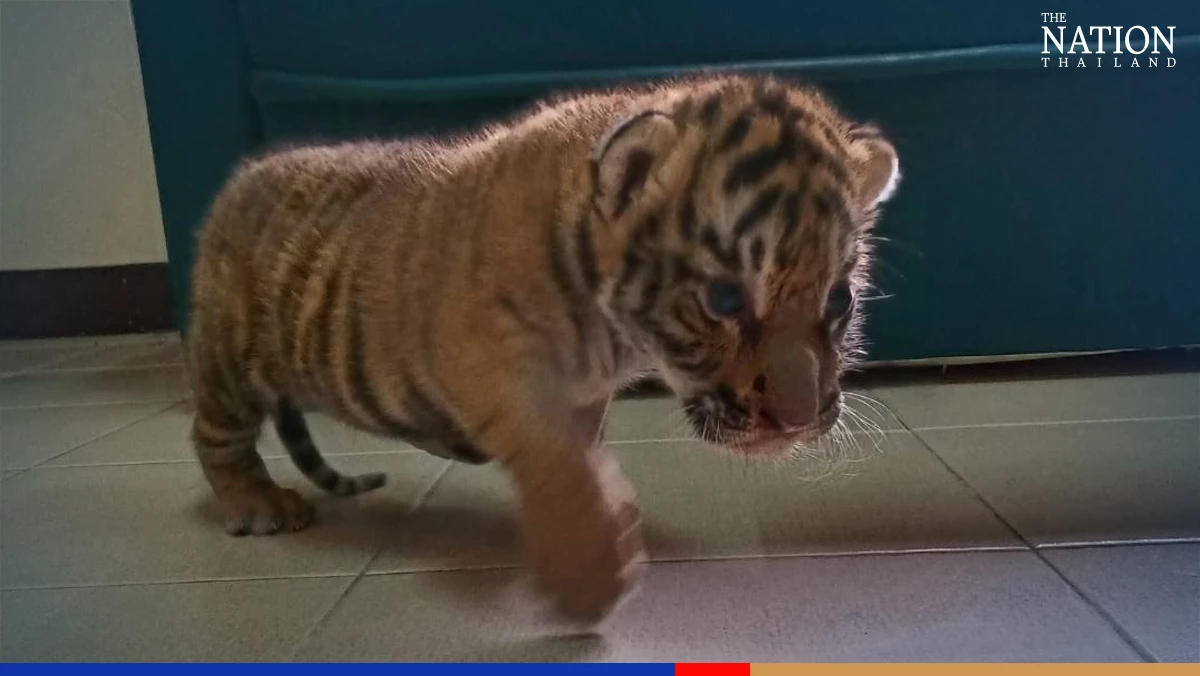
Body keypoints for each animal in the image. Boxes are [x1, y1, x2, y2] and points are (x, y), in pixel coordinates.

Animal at [186, 73, 900, 622]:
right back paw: (259, 506)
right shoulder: (493, 363)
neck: (616, 334)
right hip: (229, 362)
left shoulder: (585, 394)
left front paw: (613, 513)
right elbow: (555, 464)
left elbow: (584, 457)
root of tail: (239, 177)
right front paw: (590, 573)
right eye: (725, 299)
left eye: (839, 300)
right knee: (214, 436)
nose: (798, 420)